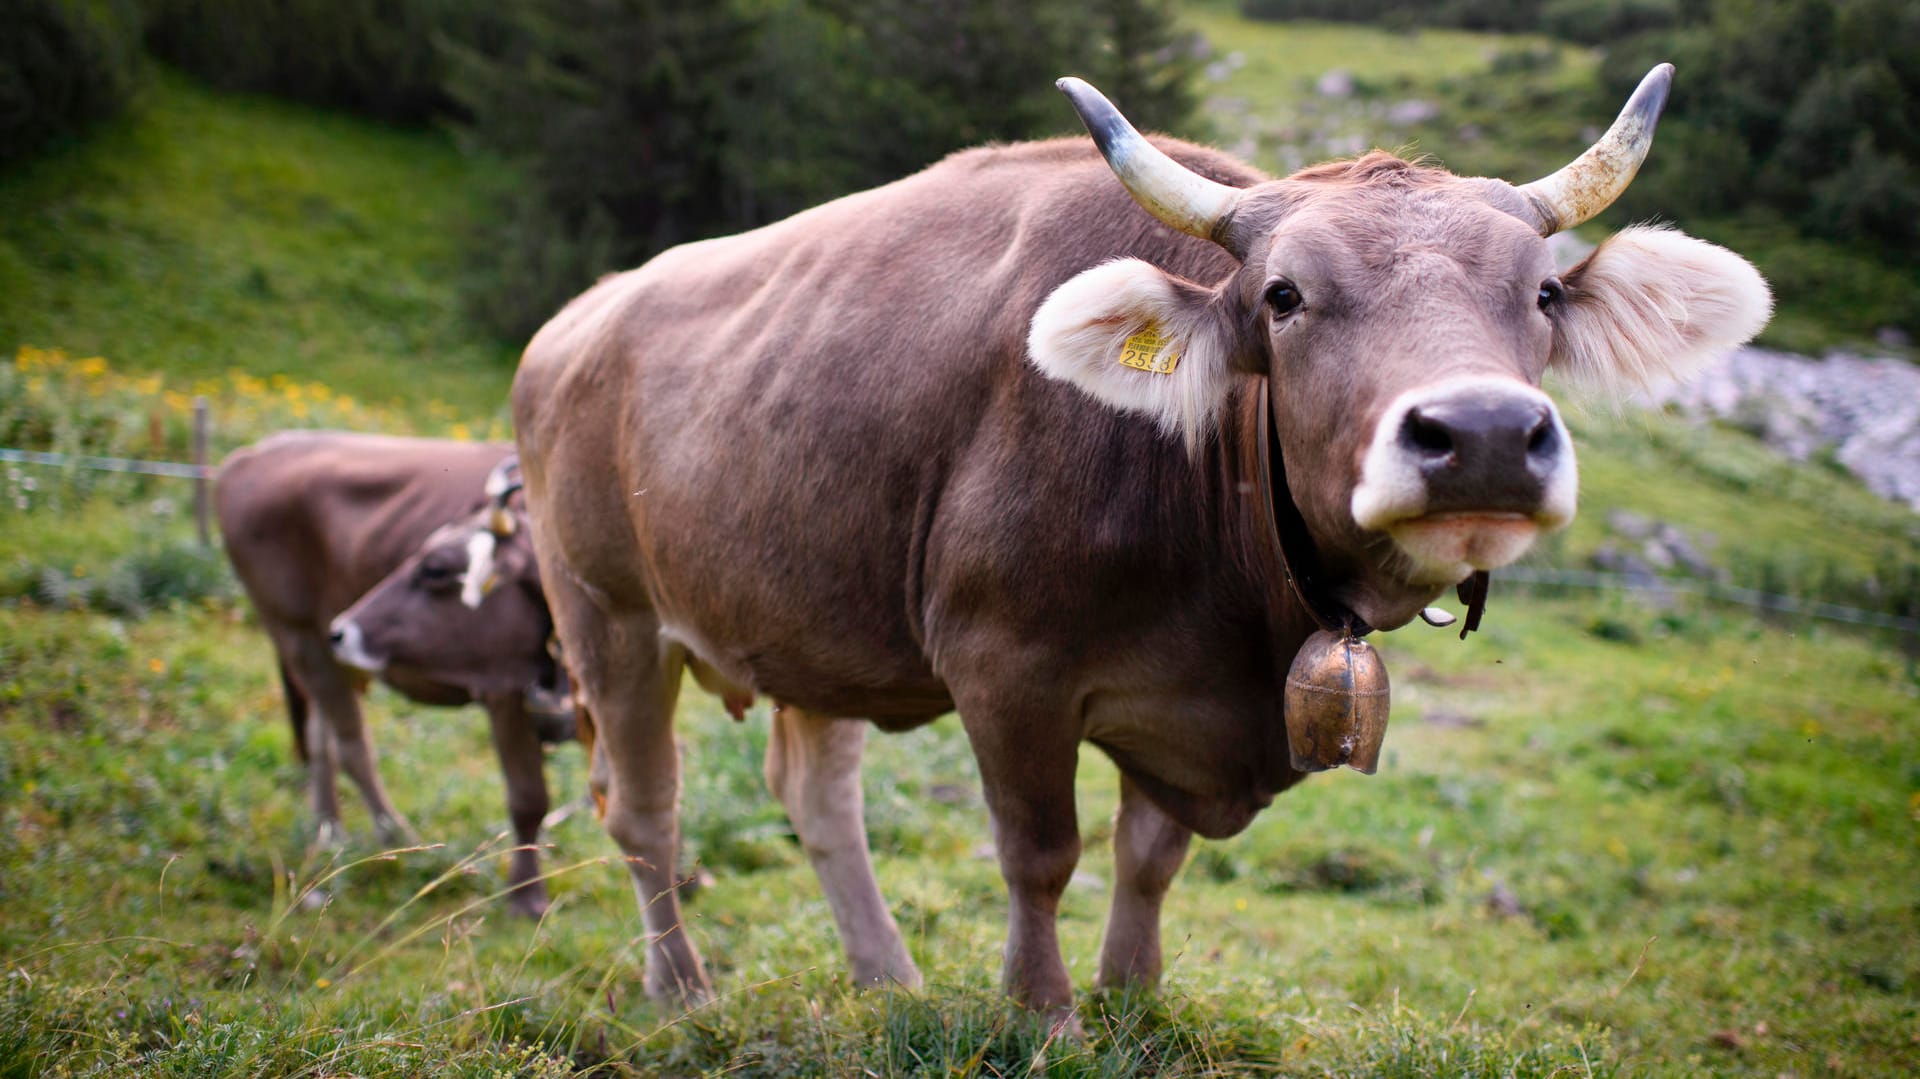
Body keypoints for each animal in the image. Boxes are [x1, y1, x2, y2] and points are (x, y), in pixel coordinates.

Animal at [216, 431, 568, 910]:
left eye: (434, 569)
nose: (345, 628)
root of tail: (258, 451)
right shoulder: (504, 689)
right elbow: (529, 798)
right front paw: (527, 897)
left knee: (321, 740)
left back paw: (329, 833)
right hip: (298, 635)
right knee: (352, 745)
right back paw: (397, 838)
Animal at [510, 65, 1766, 1006]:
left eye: (1543, 295)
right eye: (1283, 296)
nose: (1487, 433)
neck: (1244, 615)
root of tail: (575, 319)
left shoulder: (1186, 707)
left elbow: (1150, 858)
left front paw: (1131, 996)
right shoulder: (1003, 665)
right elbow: (1040, 852)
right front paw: (1044, 1010)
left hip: (811, 615)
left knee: (818, 795)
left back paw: (887, 980)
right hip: (607, 614)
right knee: (646, 808)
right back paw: (683, 987)